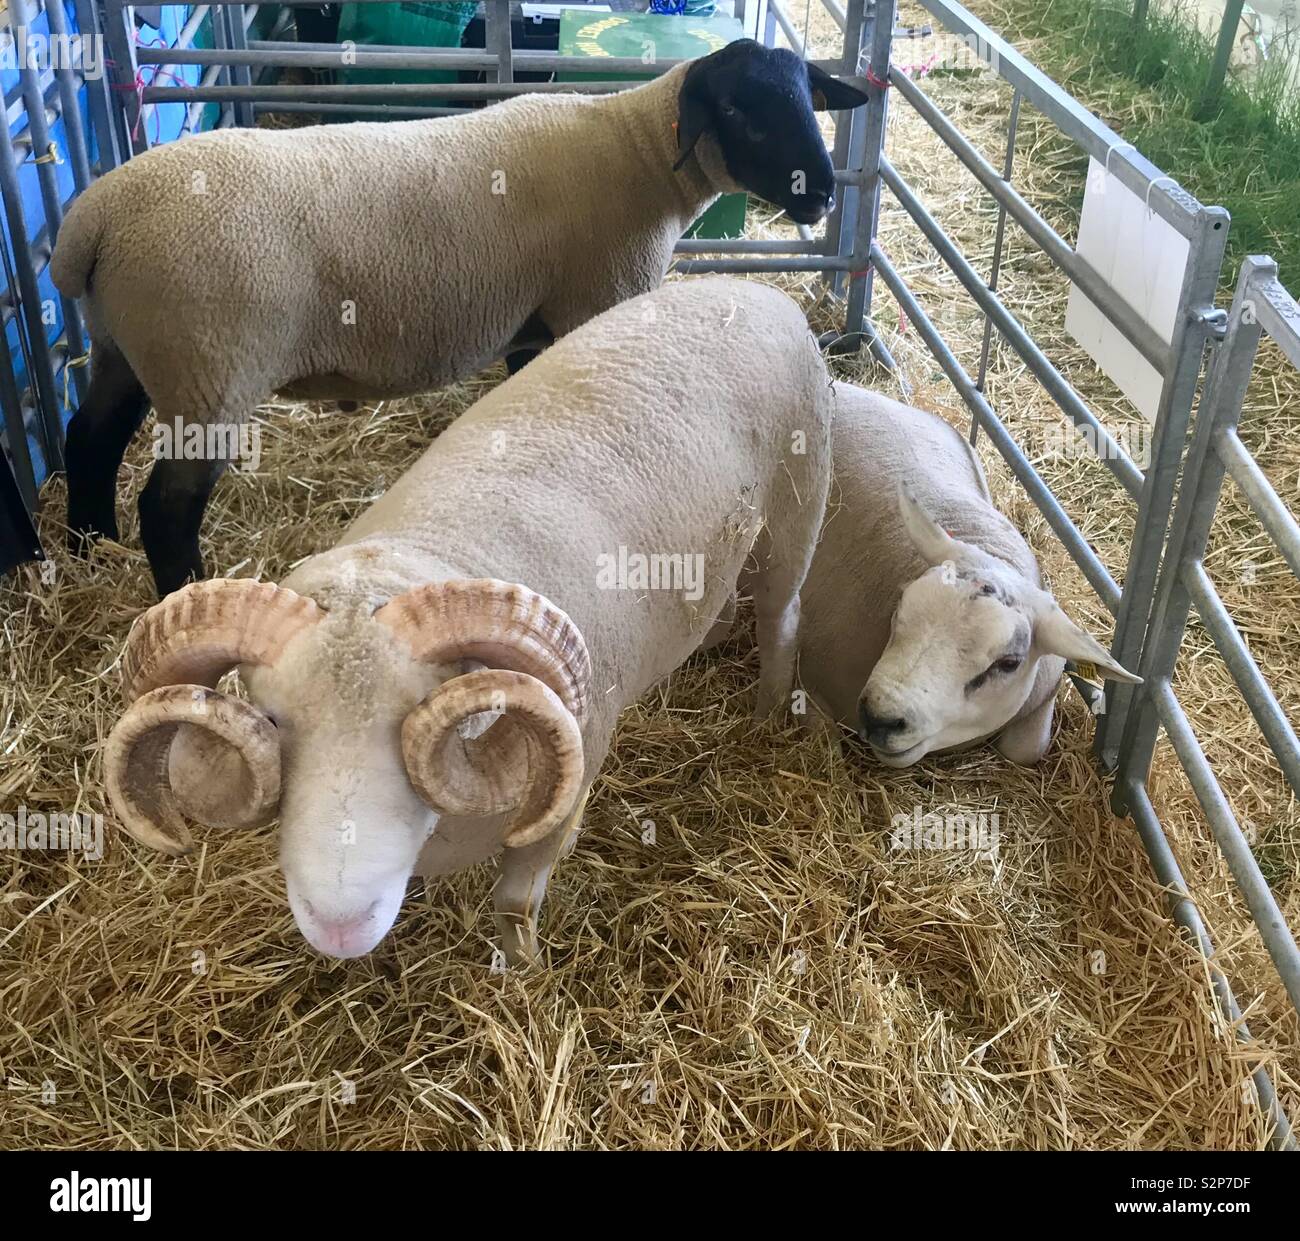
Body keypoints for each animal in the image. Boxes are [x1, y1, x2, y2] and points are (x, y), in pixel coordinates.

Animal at [51, 39, 868, 597]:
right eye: (736, 110)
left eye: (809, 99)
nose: (823, 194)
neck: (637, 154)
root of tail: (94, 222)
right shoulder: (593, 300)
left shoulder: (540, 323)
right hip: (210, 365)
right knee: (167, 506)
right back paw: (188, 594)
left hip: (127, 347)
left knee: (87, 440)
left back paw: (89, 550)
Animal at [101, 277, 833, 962]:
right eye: (272, 721)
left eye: (413, 719)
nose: (340, 926)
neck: (427, 547)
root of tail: (753, 290)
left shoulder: (568, 781)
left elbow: (515, 899)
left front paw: (521, 970)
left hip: (798, 507)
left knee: (784, 615)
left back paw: (768, 711)